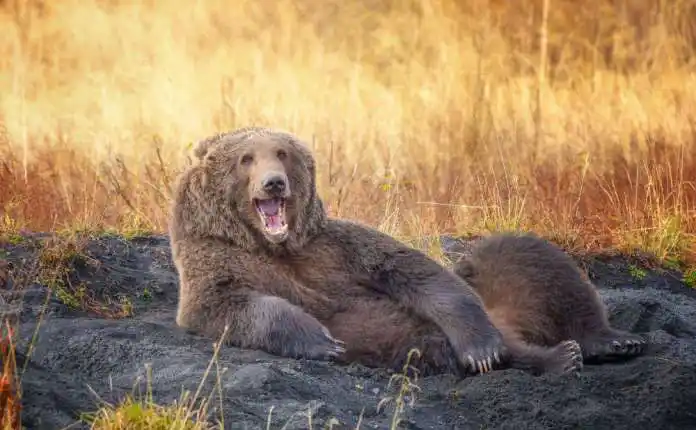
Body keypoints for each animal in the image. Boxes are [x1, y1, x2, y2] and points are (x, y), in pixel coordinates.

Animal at [168, 126, 583, 377]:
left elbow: (417, 271)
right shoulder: (216, 263)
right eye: (246, 158)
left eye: (282, 153)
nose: (274, 184)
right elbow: (227, 306)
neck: (274, 245)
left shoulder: (335, 248)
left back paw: (563, 355)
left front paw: (482, 349)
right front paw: (323, 340)